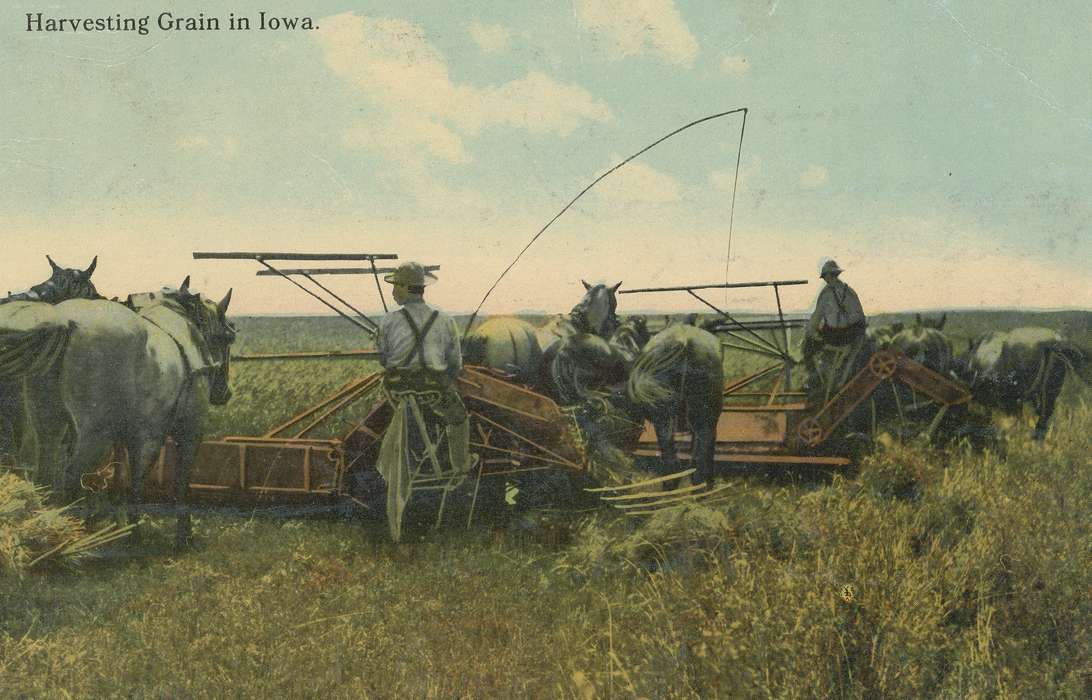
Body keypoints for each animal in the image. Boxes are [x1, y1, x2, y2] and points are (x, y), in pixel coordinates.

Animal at [2, 278, 234, 546]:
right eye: (228, 337)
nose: (225, 393)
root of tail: (66, 322)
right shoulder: (184, 433)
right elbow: (174, 484)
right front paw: (180, 538)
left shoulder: (131, 437)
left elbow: (125, 483)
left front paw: (129, 530)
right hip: (94, 437)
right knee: (69, 478)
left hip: (49, 427)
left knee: (46, 476)